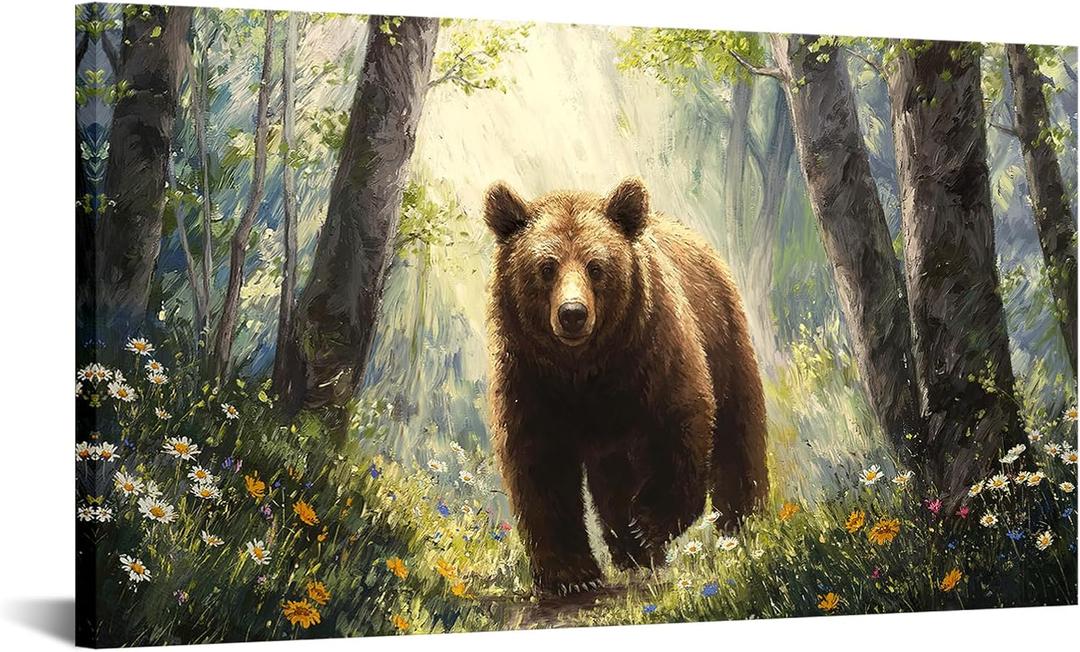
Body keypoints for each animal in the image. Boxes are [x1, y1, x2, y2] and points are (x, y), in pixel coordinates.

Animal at [483, 177, 768, 596]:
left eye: (596, 266)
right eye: (546, 267)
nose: (572, 314)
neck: (584, 368)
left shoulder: (653, 353)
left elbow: (681, 427)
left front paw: (646, 522)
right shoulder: (531, 378)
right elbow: (540, 467)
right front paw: (570, 574)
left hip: (725, 335)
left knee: (738, 435)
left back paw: (741, 527)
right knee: (612, 482)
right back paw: (632, 555)